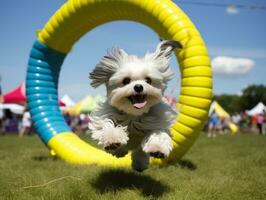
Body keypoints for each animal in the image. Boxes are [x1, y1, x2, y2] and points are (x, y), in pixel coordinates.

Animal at [88, 40, 182, 172]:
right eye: (126, 80)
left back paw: (140, 164)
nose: (138, 87)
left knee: (139, 152)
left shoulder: (158, 121)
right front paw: (113, 139)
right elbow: (107, 125)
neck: (133, 114)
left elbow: (158, 134)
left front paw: (158, 148)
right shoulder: (104, 116)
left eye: (148, 80)